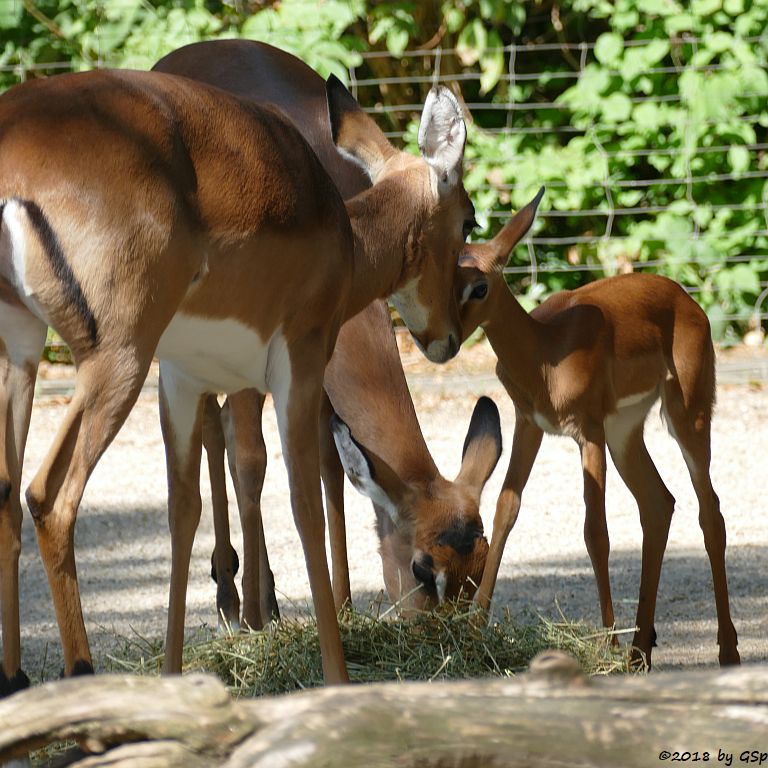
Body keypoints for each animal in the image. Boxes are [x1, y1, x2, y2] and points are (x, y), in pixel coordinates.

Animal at [0, 63, 472, 692]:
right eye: (469, 220)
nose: (448, 337)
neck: (341, 237)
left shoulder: (180, 380)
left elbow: (183, 511)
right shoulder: (296, 365)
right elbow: (303, 504)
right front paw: (336, 678)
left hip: (23, 351)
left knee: (7, 490)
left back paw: (16, 678)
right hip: (116, 361)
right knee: (48, 498)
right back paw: (81, 675)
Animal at [155, 42, 500, 628]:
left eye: (480, 561)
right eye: (423, 569)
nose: (448, 338)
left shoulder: (318, 363)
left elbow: (328, 465)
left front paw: (338, 605)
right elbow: (251, 460)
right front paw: (257, 615)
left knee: (215, 427)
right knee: (216, 431)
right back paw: (233, 595)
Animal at [460, 188, 740, 664]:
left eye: (480, 285)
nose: (439, 334)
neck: (545, 352)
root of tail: (687, 300)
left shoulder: (586, 432)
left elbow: (597, 531)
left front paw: (606, 642)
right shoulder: (528, 424)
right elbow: (506, 509)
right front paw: (475, 629)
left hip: (687, 415)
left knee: (711, 512)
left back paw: (725, 650)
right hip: (625, 433)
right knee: (659, 503)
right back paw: (640, 651)